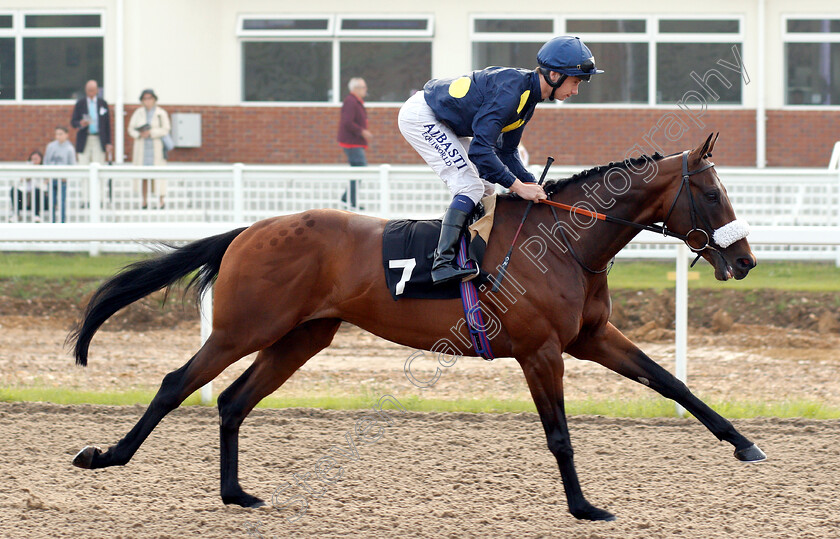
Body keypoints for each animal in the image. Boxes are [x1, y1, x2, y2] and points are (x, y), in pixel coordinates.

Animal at [72, 135, 764, 524]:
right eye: (711, 193)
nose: (745, 260)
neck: (564, 243)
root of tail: (248, 230)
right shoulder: (542, 352)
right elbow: (560, 436)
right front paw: (584, 507)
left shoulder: (590, 337)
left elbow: (672, 383)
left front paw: (745, 444)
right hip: (244, 327)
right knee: (177, 382)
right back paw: (106, 456)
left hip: (303, 336)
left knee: (234, 401)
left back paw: (236, 494)